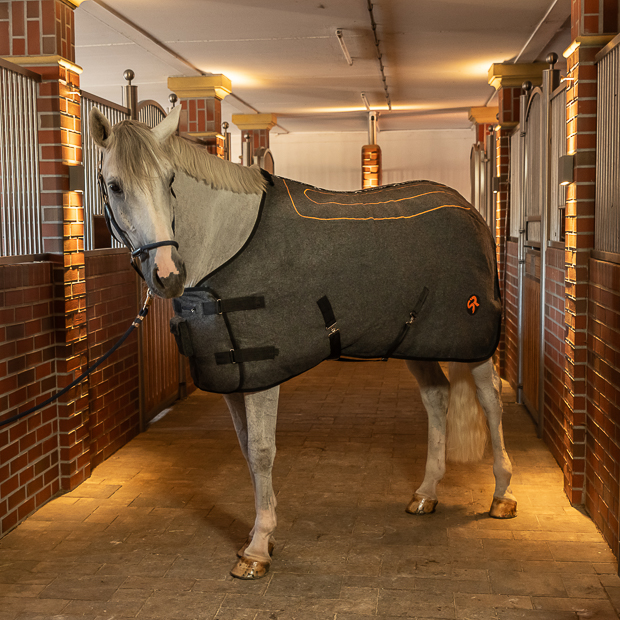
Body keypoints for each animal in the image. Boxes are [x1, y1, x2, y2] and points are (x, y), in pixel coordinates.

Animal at [89, 103, 516, 580]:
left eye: (170, 181)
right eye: (114, 185)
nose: (168, 274)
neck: (227, 243)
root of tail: (472, 213)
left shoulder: (261, 375)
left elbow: (261, 452)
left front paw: (257, 548)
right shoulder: (235, 376)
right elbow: (246, 450)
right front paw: (261, 532)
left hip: (474, 342)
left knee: (490, 400)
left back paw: (501, 494)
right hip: (415, 339)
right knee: (436, 396)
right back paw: (426, 493)